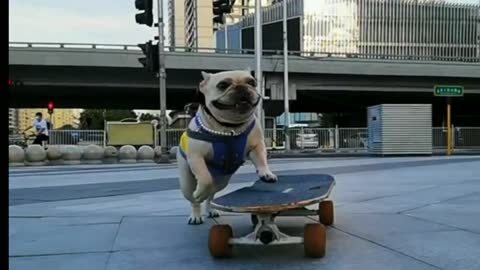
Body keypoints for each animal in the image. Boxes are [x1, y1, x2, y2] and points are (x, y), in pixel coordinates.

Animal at [177, 69, 278, 224]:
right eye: (223, 85)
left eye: (252, 82)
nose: (241, 87)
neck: (229, 127)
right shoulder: (196, 157)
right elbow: (204, 178)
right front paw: (200, 192)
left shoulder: (257, 146)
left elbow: (261, 159)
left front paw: (266, 174)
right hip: (187, 183)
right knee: (195, 198)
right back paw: (196, 215)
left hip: (221, 182)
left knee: (211, 195)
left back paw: (211, 210)